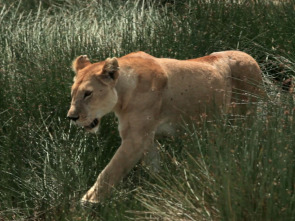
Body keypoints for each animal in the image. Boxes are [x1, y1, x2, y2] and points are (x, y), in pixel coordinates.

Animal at [68, 51, 264, 203]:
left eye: (88, 94)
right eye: (73, 93)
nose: (71, 117)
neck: (122, 95)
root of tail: (251, 57)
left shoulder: (135, 139)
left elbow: (109, 172)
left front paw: (87, 203)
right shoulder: (147, 138)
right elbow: (154, 168)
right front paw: (157, 189)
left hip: (247, 115)